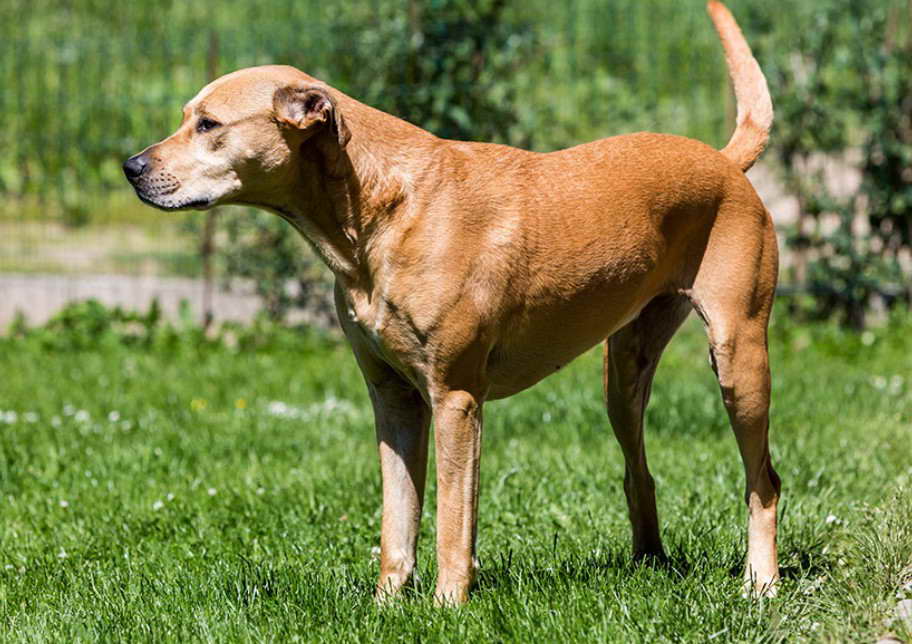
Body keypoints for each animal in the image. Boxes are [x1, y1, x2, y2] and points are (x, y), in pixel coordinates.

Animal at [124, 1, 780, 604]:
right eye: (187, 118)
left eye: (209, 124)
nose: (131, 166)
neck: (379, 209)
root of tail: (724, 162)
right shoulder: (393, 399)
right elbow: (397, 519)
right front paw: (388, 604)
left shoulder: (456, 400)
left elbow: (451, 520)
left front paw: (447, 605)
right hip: (623, 374)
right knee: (639, 472)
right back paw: (650, 564)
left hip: (739, 360)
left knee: (763, 480)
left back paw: (762, 583)